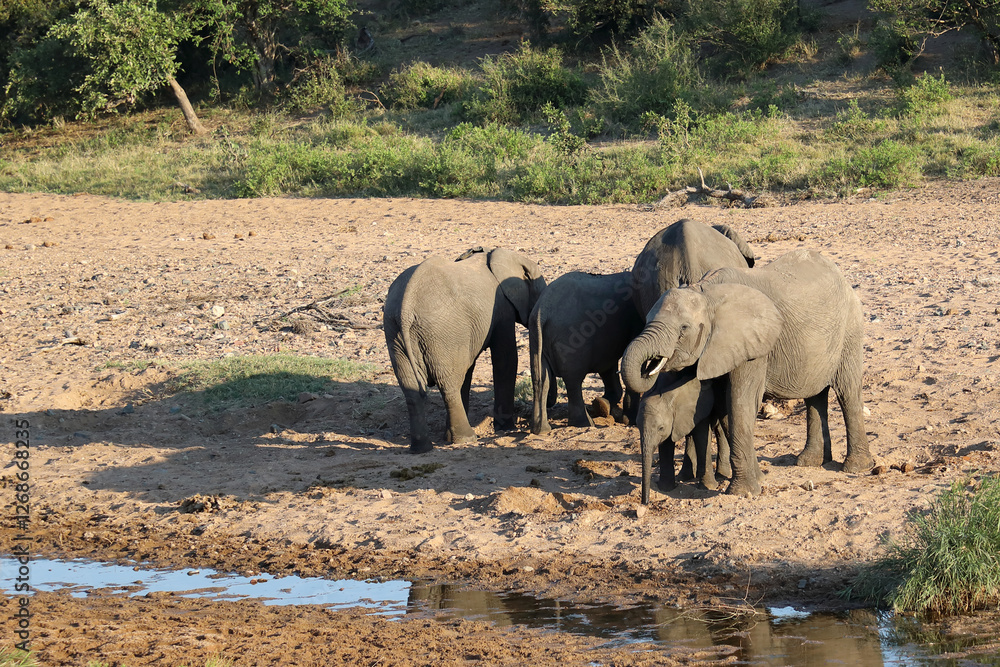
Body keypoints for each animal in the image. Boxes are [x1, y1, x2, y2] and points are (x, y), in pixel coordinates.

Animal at [383, 247, 546, 453]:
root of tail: (405, 309)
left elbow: (469, 369)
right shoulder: (501, 308)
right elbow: (505, 359)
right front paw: (506, 429)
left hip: (396, 335)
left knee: (412, 389)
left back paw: (423, 448)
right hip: (441, 333)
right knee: (449, 384)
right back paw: (466, 439)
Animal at [528, 271, 645, 434]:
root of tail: (542, 309)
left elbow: (608, 364)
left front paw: (603, 405)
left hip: (535, 335)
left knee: (541, 379)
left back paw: (541, 430)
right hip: (570, 335)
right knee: (573, 379)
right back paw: (585, 424)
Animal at [637, 369, 732, 503]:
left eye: (660, 428)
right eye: (637, 427)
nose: (646, 502)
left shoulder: (699, 408)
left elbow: (702, 437)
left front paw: (708, 487)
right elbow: (666, 445)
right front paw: (665, 488)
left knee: (719, 430)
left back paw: (720, 475)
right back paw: (685, 477)